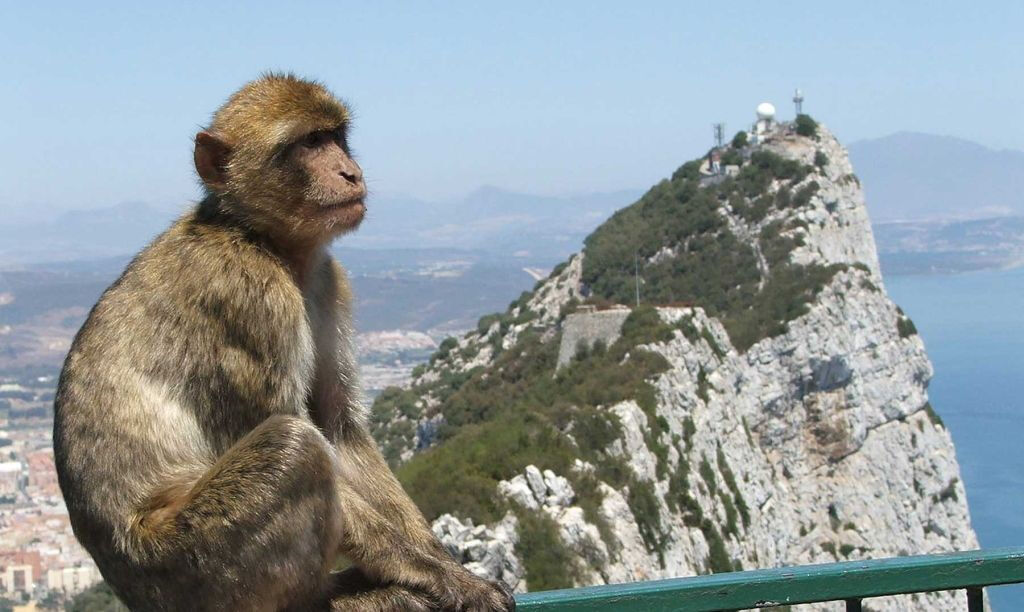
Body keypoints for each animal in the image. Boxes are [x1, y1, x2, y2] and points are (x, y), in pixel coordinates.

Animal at [51, 73, 516, 612]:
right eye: (309, 143)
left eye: (335, 136)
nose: (351, 171)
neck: (259, 237)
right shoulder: (250, 297)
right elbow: (305, 435)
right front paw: (439, 576)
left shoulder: (327, 281)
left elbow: (339, 429)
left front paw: (439, 559)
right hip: (195, 567)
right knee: (293, 448)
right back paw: (326, 599)